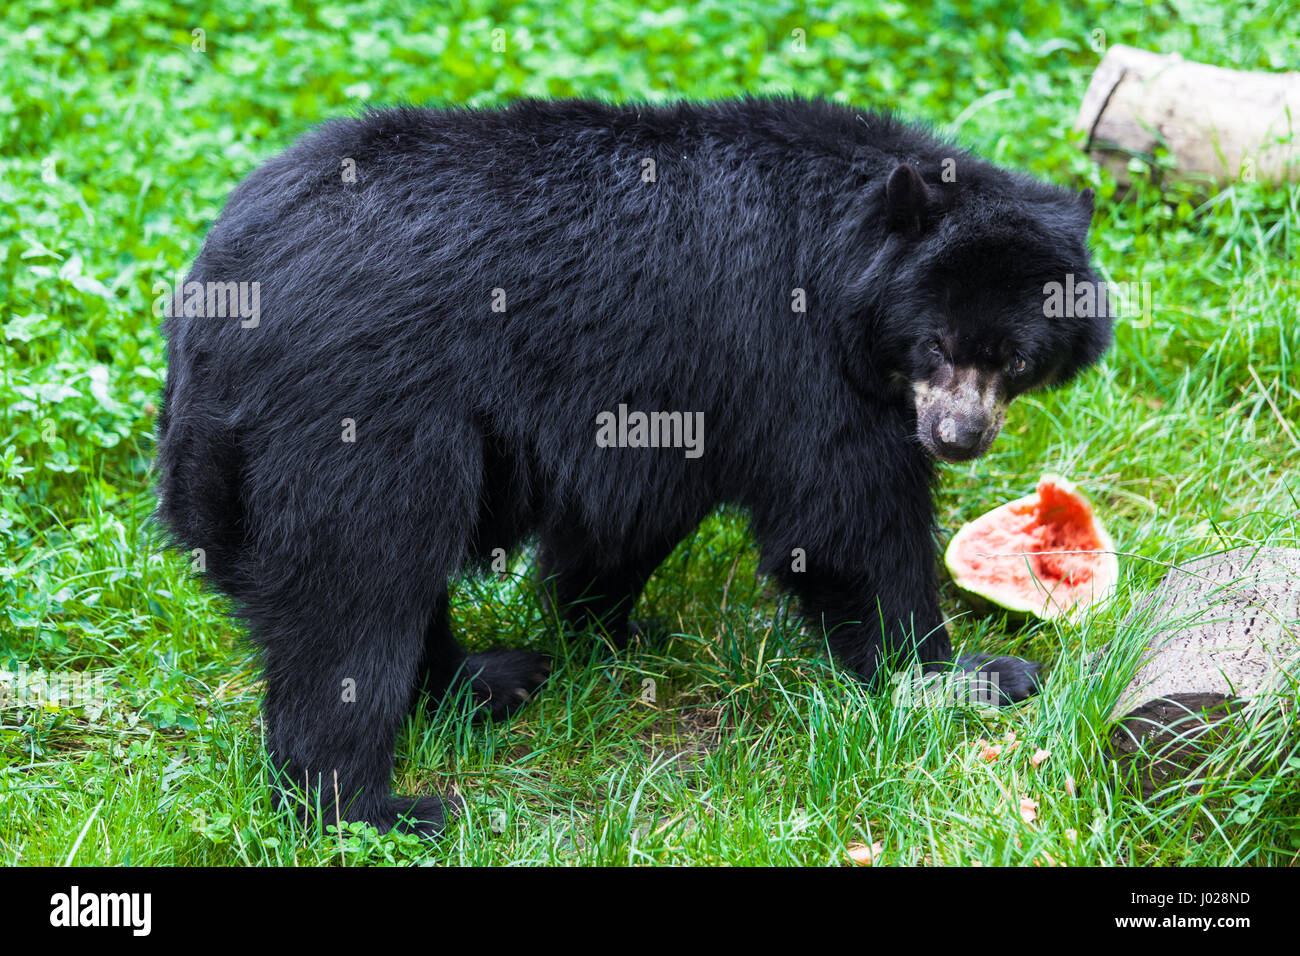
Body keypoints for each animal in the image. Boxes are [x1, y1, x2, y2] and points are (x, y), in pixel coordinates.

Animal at [154, 95, 1112, 836]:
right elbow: (846, 518)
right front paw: (965, 677)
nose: (958, 436)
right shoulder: (792, 357)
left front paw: (602, 625)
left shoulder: (676, 399)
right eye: (935, 344)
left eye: (1017, 359)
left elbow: (628, 518)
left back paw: (486, 680)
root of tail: (214, 301)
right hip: (359, 415)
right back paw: (372, 809)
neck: (852, 258)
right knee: (355, 592)